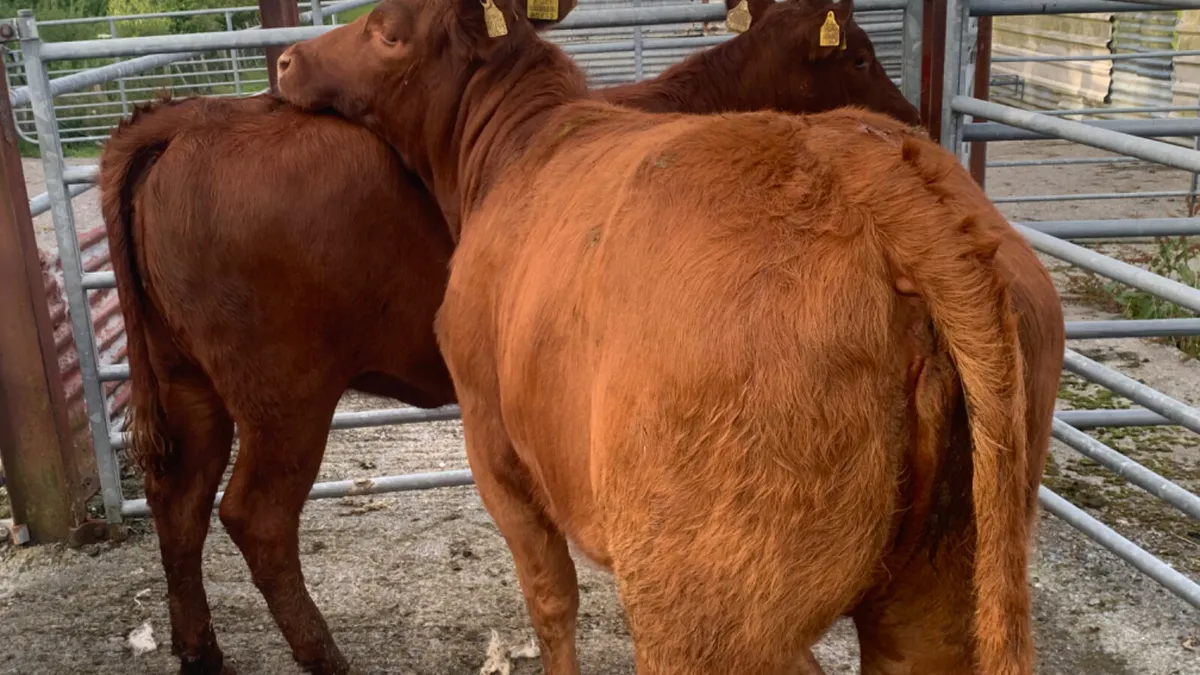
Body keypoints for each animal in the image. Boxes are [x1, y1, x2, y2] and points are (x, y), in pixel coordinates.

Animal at [103, 1, 921, 672]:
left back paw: (200, 650)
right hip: (285, 394)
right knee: (256, 516)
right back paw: (323, 655)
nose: (911, 115)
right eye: (859, 57)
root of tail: (191, 117)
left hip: (190, 381)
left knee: (180, 503)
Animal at [276, 1, 1065, 672]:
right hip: (942, 589)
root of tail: (871, 171)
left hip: (701, 602)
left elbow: (551, 602)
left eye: (386, 30)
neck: (516, 144)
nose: (286, 60)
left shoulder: (495, 448)